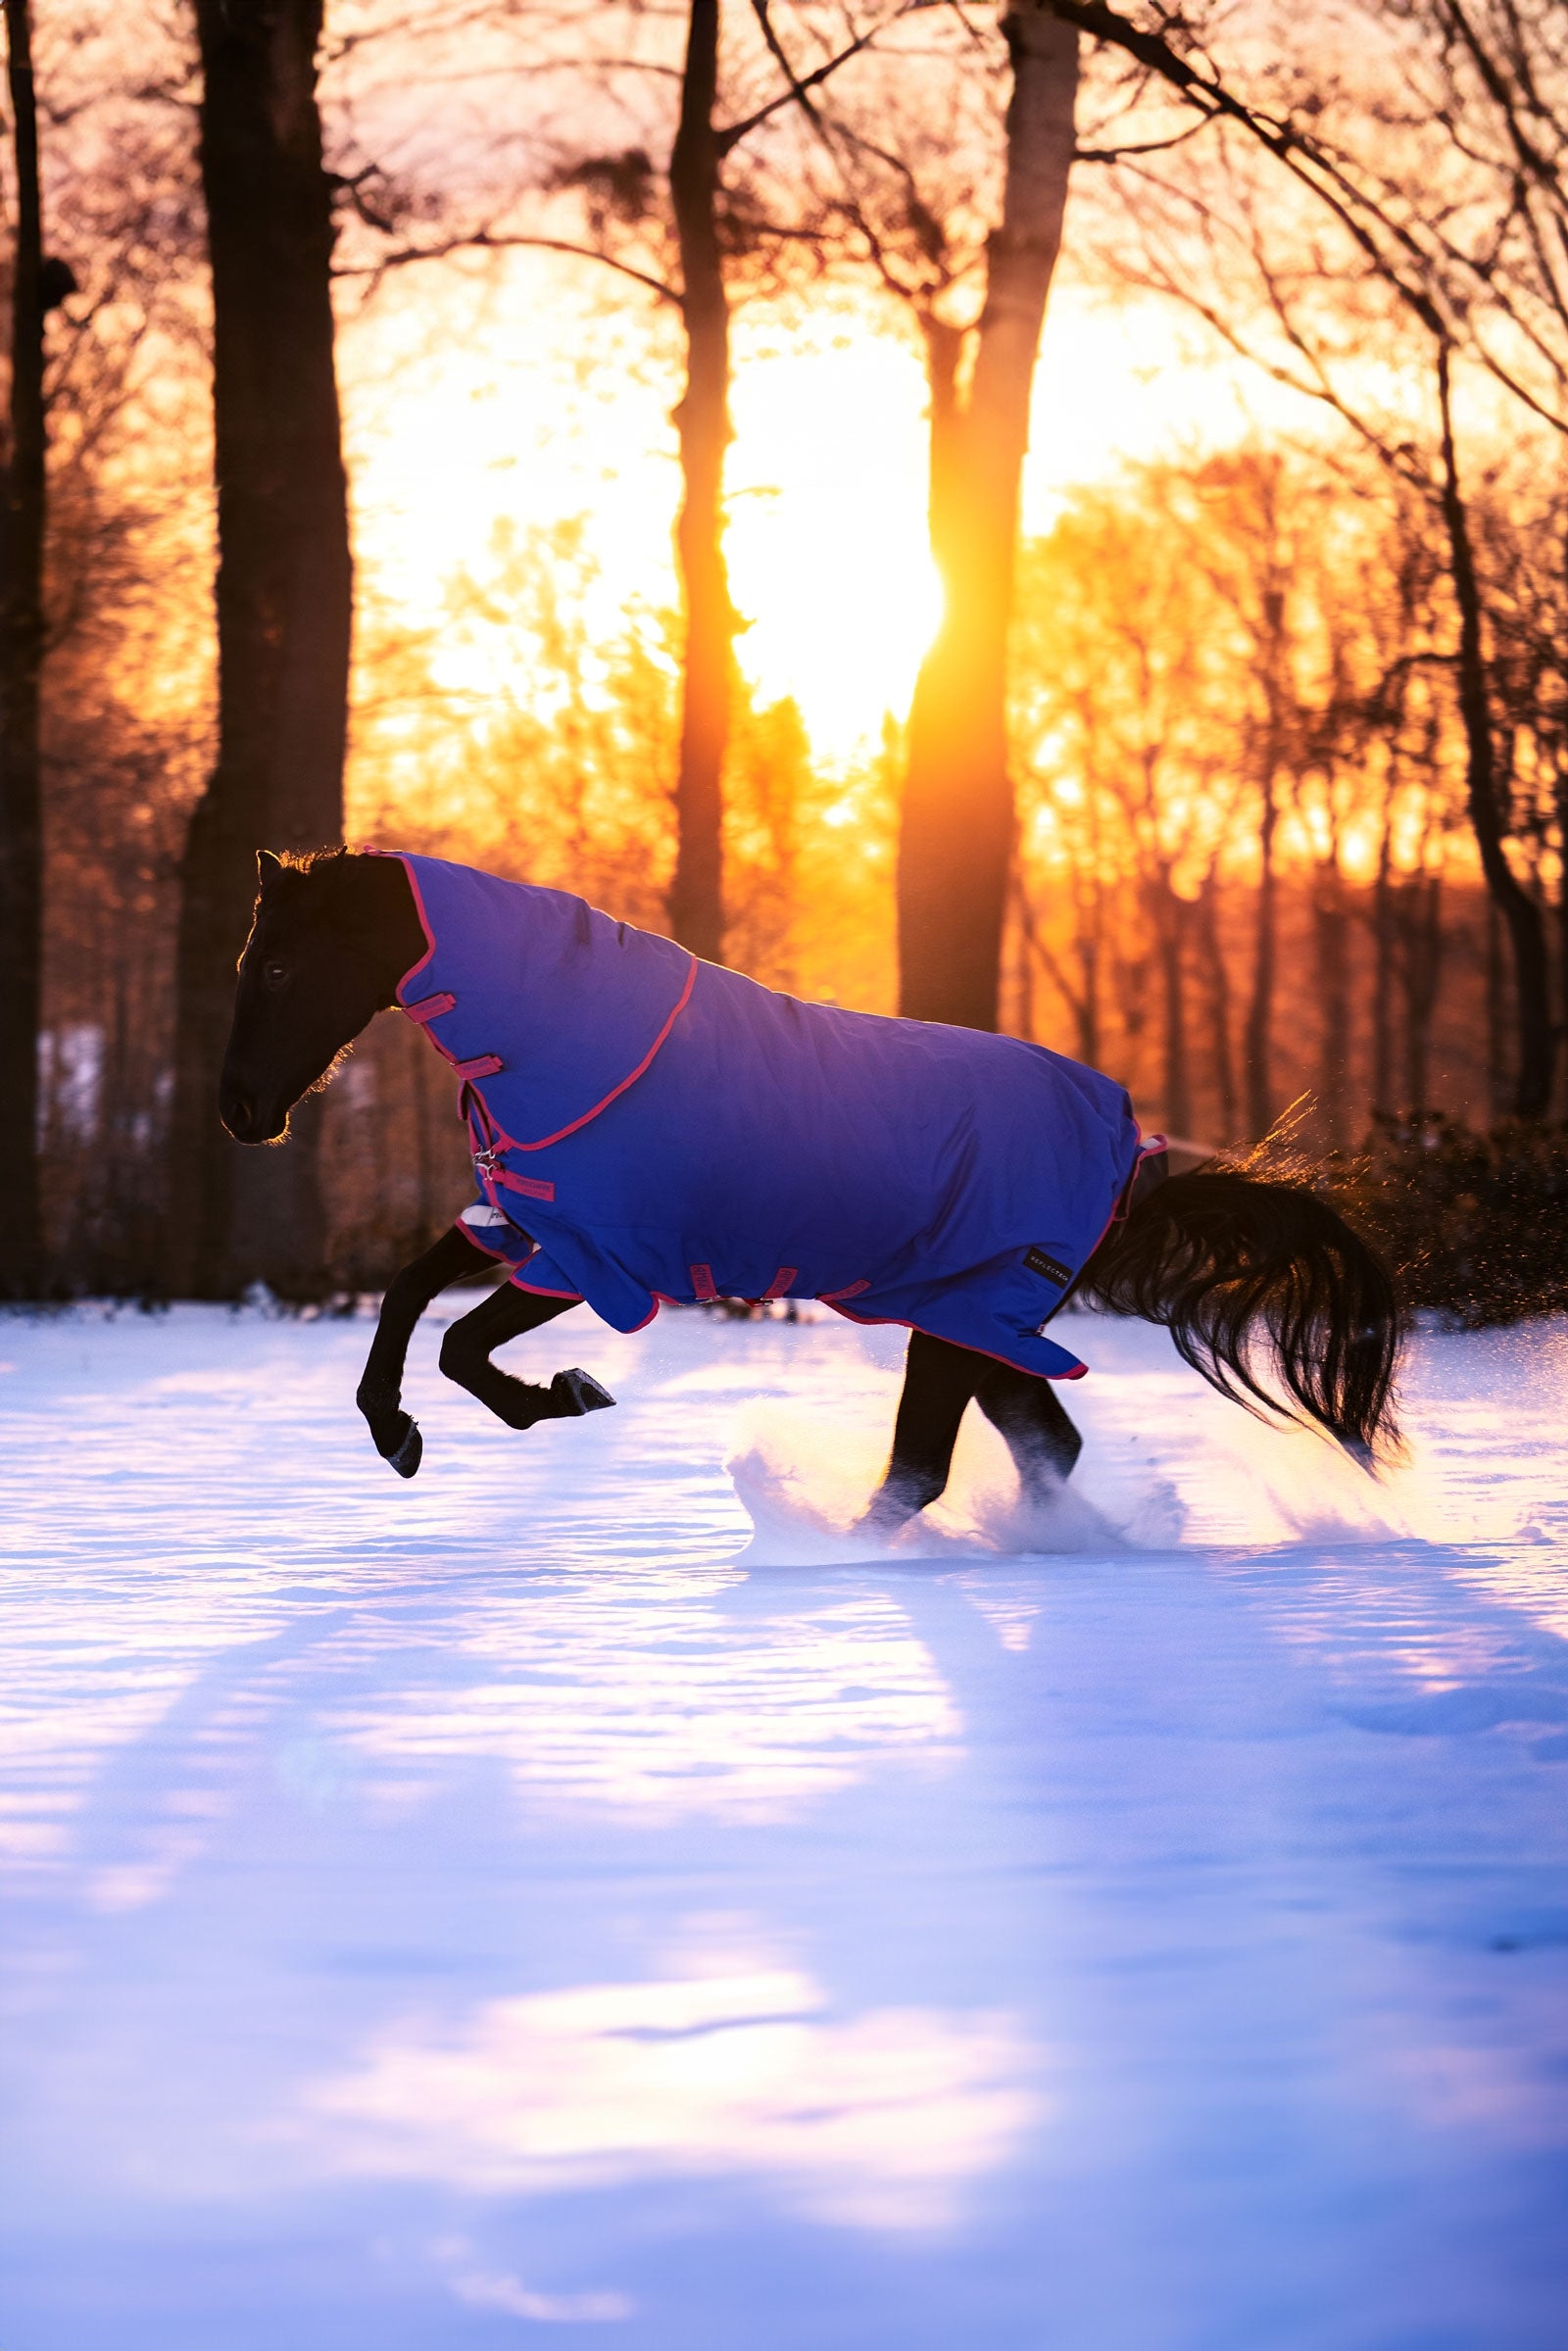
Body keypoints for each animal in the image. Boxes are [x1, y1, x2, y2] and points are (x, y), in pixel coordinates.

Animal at [219, 847, 1401, 1524]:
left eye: (277, 965)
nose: (239, 1111)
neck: (565, 1041)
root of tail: (1130, 1160)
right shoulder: (520, 1220)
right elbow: (406, 1297)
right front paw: (393, 1431)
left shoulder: (598, 1257)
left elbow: (463, 1345)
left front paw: (563, 1391)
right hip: (978, 1326)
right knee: (1038, 1448)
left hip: (967, 1320)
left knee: (922, 1469)